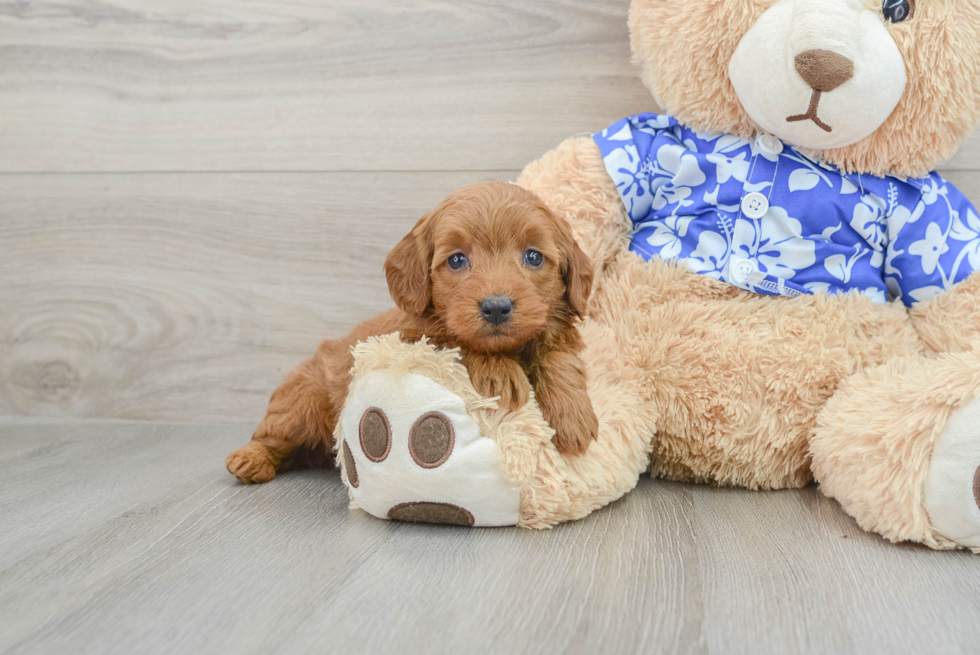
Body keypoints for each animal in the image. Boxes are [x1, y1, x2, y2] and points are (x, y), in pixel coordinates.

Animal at [228, 182, 596, 484]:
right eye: (457, 260)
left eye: (533, 256)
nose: (496, 307)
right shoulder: (412, 338)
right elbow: (454, 339)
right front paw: (499, 374)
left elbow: (560, 357)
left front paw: (573, 416)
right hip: (300, 403)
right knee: (272, 434)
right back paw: (249, 459)